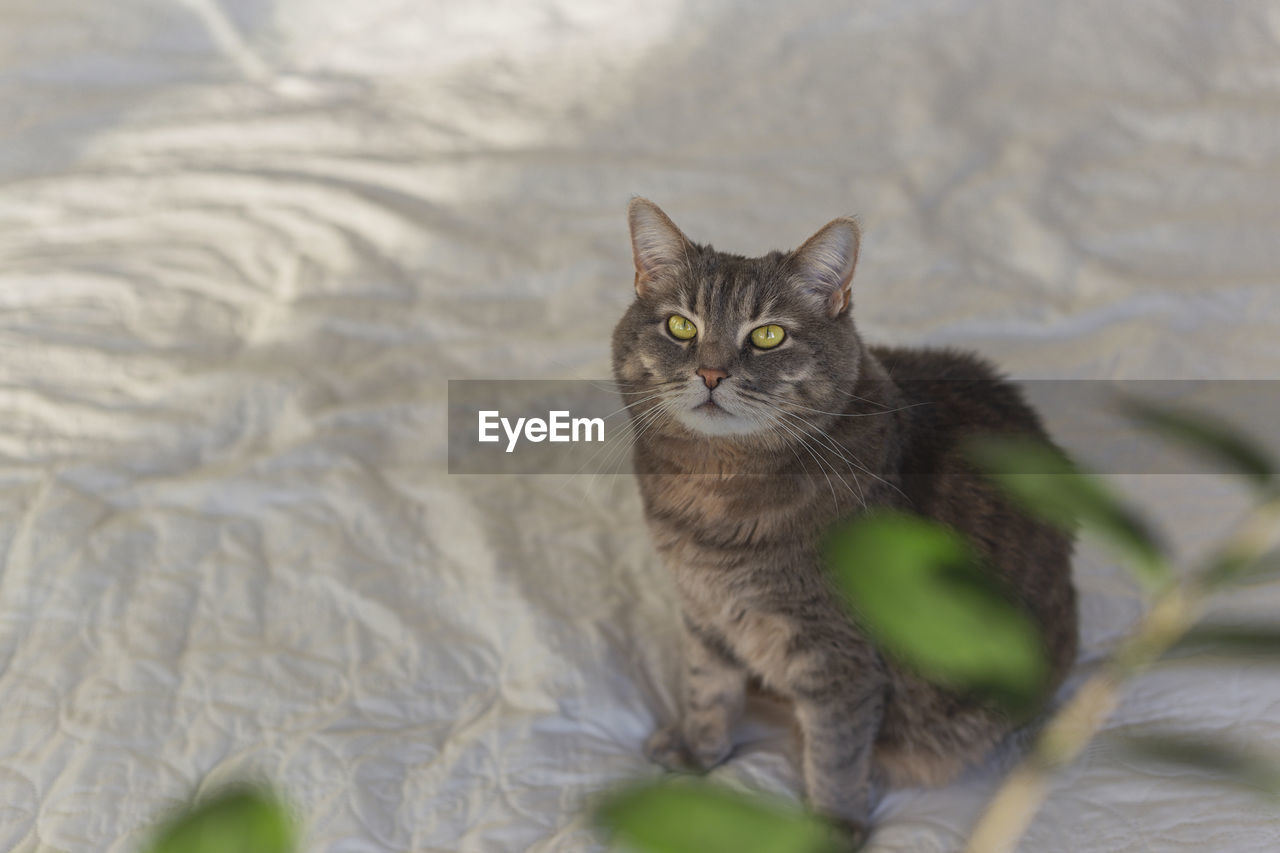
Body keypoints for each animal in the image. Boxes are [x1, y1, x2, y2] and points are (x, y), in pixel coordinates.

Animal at [609, 199, 1080, 845]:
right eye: (681, 327)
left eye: (768, 335)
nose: (709, 373)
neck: (714, 488)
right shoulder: (703, 610)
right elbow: (708, 687)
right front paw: (701, 752)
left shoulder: (841, 655)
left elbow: (835, 750)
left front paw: (832, 824)